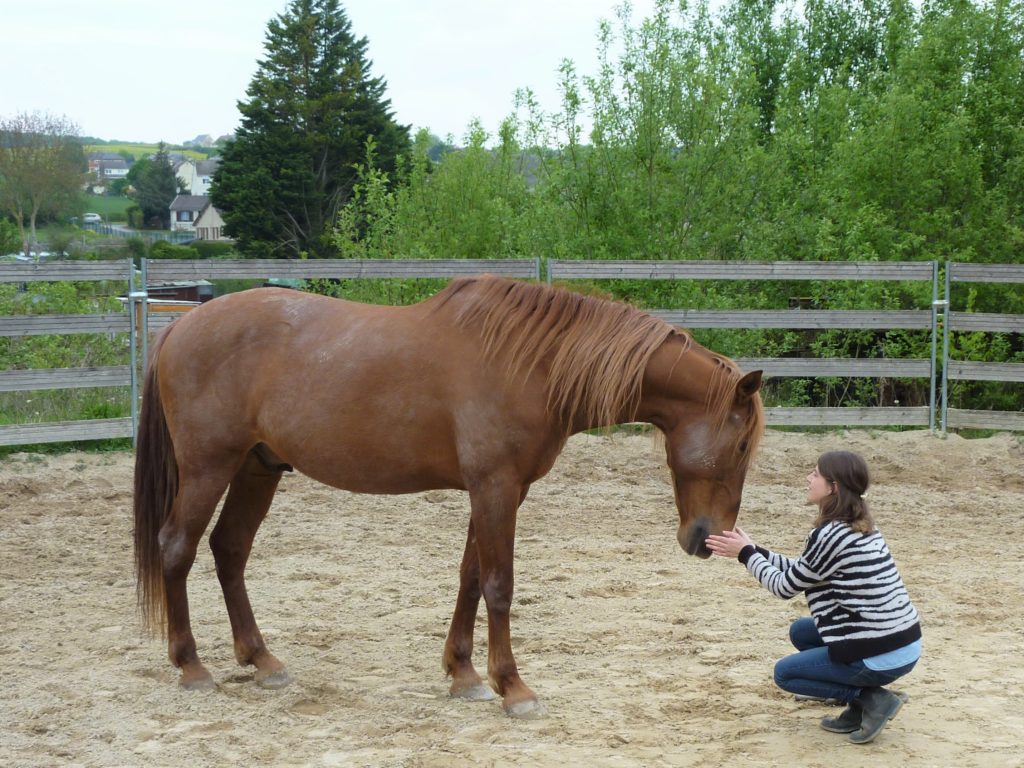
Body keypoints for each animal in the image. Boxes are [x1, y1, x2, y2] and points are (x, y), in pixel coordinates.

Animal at [134, 276, 761, 720]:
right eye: (740, 445)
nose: (707, 538)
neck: (531, 364)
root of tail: (178, 330)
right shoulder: (495, 487)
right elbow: (500, 585)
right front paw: (514, 687)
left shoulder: (499, 490)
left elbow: (470, 577)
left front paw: (464, 675)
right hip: (208, 468)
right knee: (177, 548)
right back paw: (191, 666)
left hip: (257, 468)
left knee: (229, 550)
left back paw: (262, 661)